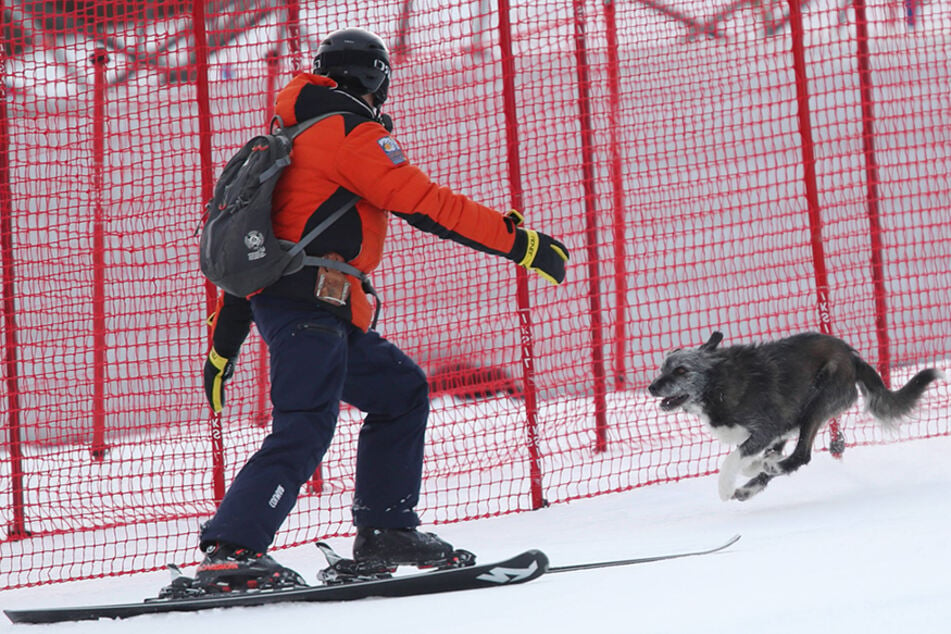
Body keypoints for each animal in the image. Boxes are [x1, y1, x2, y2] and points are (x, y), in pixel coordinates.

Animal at [648, 330, 944, 498]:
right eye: (663, 368)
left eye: (682, 370)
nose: (651, 387)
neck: (716, 383)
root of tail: (853, 356)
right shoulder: (774, 432)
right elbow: (749, 457)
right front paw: (755, 466)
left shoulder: (767, 428)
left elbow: (733, 459)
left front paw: (725, 486)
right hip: (799, 417)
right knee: (786, 456)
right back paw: (752, 484)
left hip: (818, 405)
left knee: (802, 454)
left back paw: (769, 468)